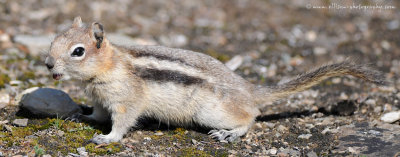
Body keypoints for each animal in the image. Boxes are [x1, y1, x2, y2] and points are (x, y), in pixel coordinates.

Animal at [45, 16, 386, 144]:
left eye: (78, 51)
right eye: (54, 39)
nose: (48, 64)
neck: (109, 66)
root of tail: (248, 89)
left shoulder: (126, 102)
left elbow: (121, 123)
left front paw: (108, 138)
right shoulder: (102, 99)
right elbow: (98, 114)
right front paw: (80, 114)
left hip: (211, 112)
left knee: (252, 116)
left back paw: (230, 133)